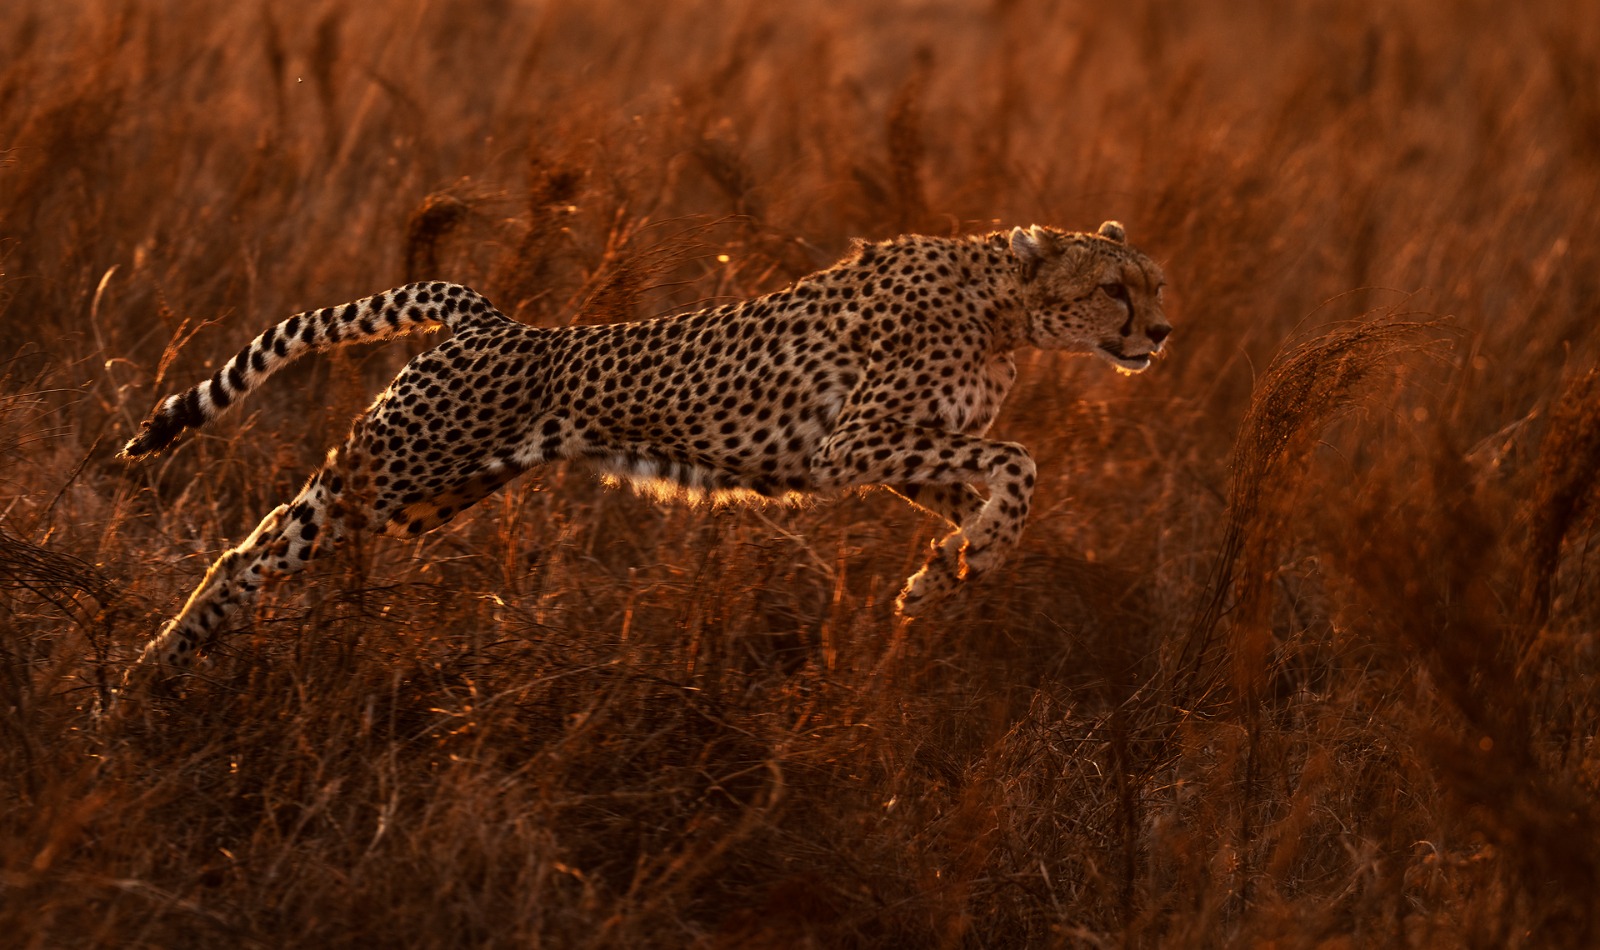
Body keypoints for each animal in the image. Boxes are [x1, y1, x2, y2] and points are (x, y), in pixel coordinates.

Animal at [118, 220, 1170, 686]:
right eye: (1116, 289)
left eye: (1152, 283)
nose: (1161, 333)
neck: (1008, 303)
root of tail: (491, 318)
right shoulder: (854, 444)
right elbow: (1021, 462)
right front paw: (964, 563)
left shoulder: (899, 452)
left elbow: (997, 484)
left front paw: (946, 571)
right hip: (393, 472)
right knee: (251, 548)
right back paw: (147, 674)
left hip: (431, 493)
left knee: (268, 542)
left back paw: (164, 665)